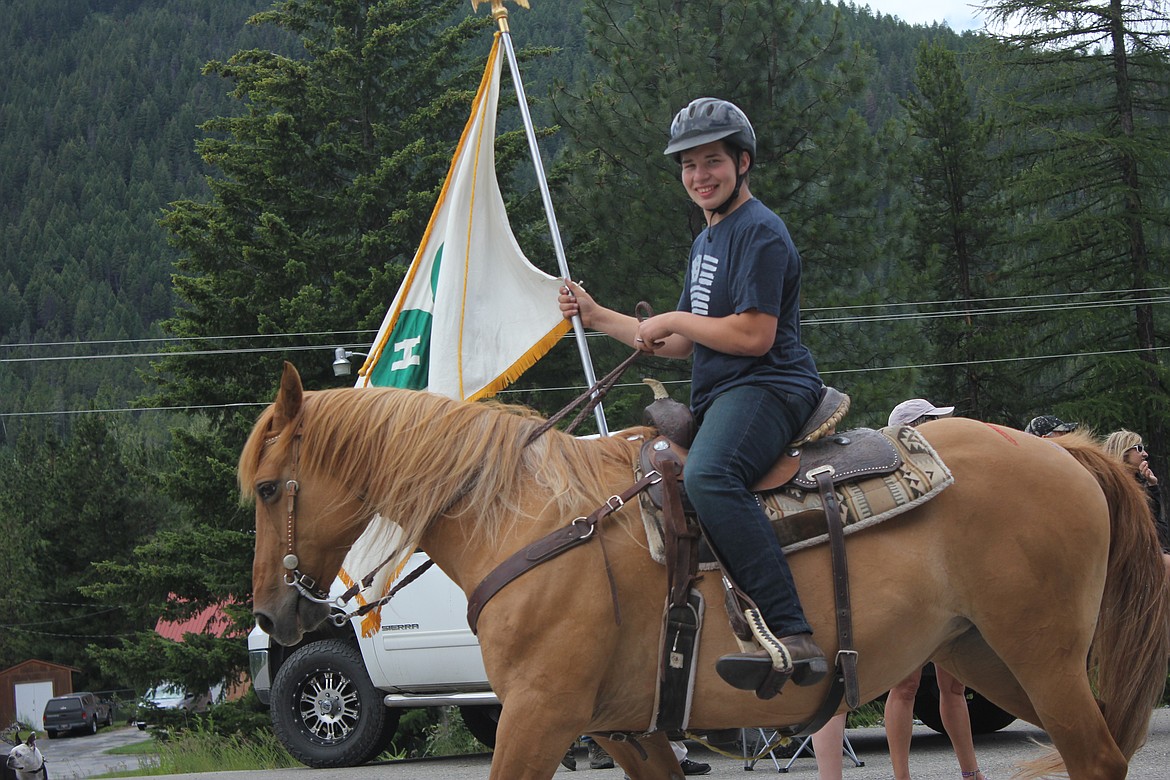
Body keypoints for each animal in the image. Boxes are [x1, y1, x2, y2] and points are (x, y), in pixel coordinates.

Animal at [242, 367, 1165, 780]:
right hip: (985, 654)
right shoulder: (629, 728)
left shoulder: (538, 717)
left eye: (268, 487)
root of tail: (1065, 453)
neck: (531, 522)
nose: (275, 616)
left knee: (1096, 756)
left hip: (1042, 655)